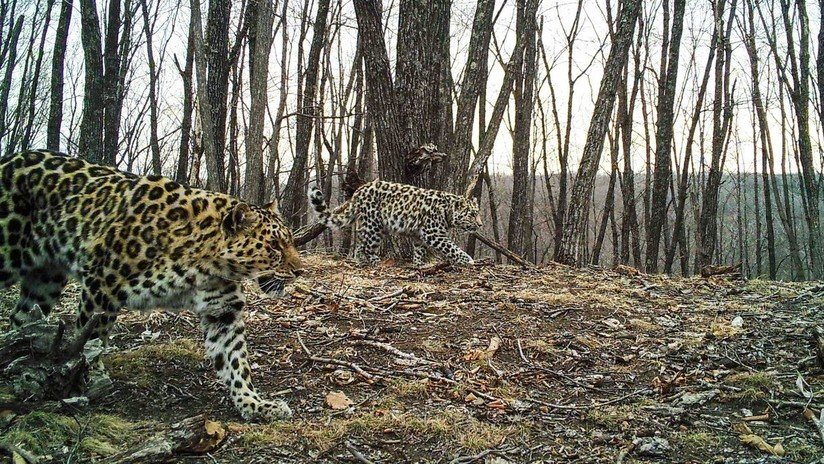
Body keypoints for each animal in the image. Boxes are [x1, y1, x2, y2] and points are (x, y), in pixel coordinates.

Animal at [0, 149, 302, 422]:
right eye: (275, 246)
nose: (300, 271)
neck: (207, 264)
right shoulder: (101, 285)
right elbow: (92, 336)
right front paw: (92, 375)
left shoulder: (223, 312)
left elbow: (235, 360)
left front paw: (254, 403)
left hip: (45, 280)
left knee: (20, 320)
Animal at [309, 180, 482, 266]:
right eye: (472, 215)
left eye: (477, 213)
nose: (480, 225)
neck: (447, 211)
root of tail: (359, 191)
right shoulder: (433, 234)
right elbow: (452, 247)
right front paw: (468, 260)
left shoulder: (419, 235)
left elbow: (419, 250)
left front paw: (419, 264)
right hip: (374, 226)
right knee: (366, 247)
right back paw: (374, 262)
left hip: (375, 227)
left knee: (360, 246)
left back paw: (362, 261)